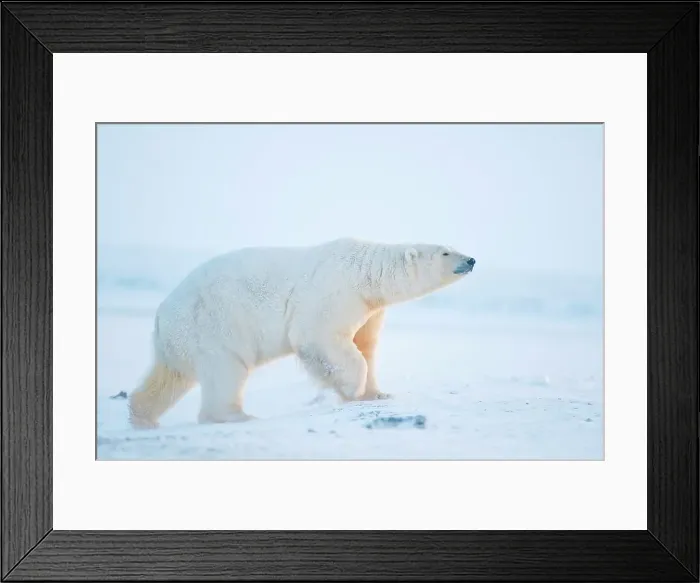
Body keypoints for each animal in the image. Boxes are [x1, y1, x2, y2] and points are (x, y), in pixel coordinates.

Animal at [128, 238, 475, 429]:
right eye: (446, 252)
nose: (471, 259)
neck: (364, 271)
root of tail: (160, 318)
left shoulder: (369, 309)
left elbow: (366, 345)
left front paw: (376, 393)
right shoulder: (334, 292)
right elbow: (320, 338)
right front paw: (352, 387)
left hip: (181, 341)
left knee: (169, 377)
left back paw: (143, 418)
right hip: (212, 328)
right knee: (225, 372)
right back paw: (236, 416)